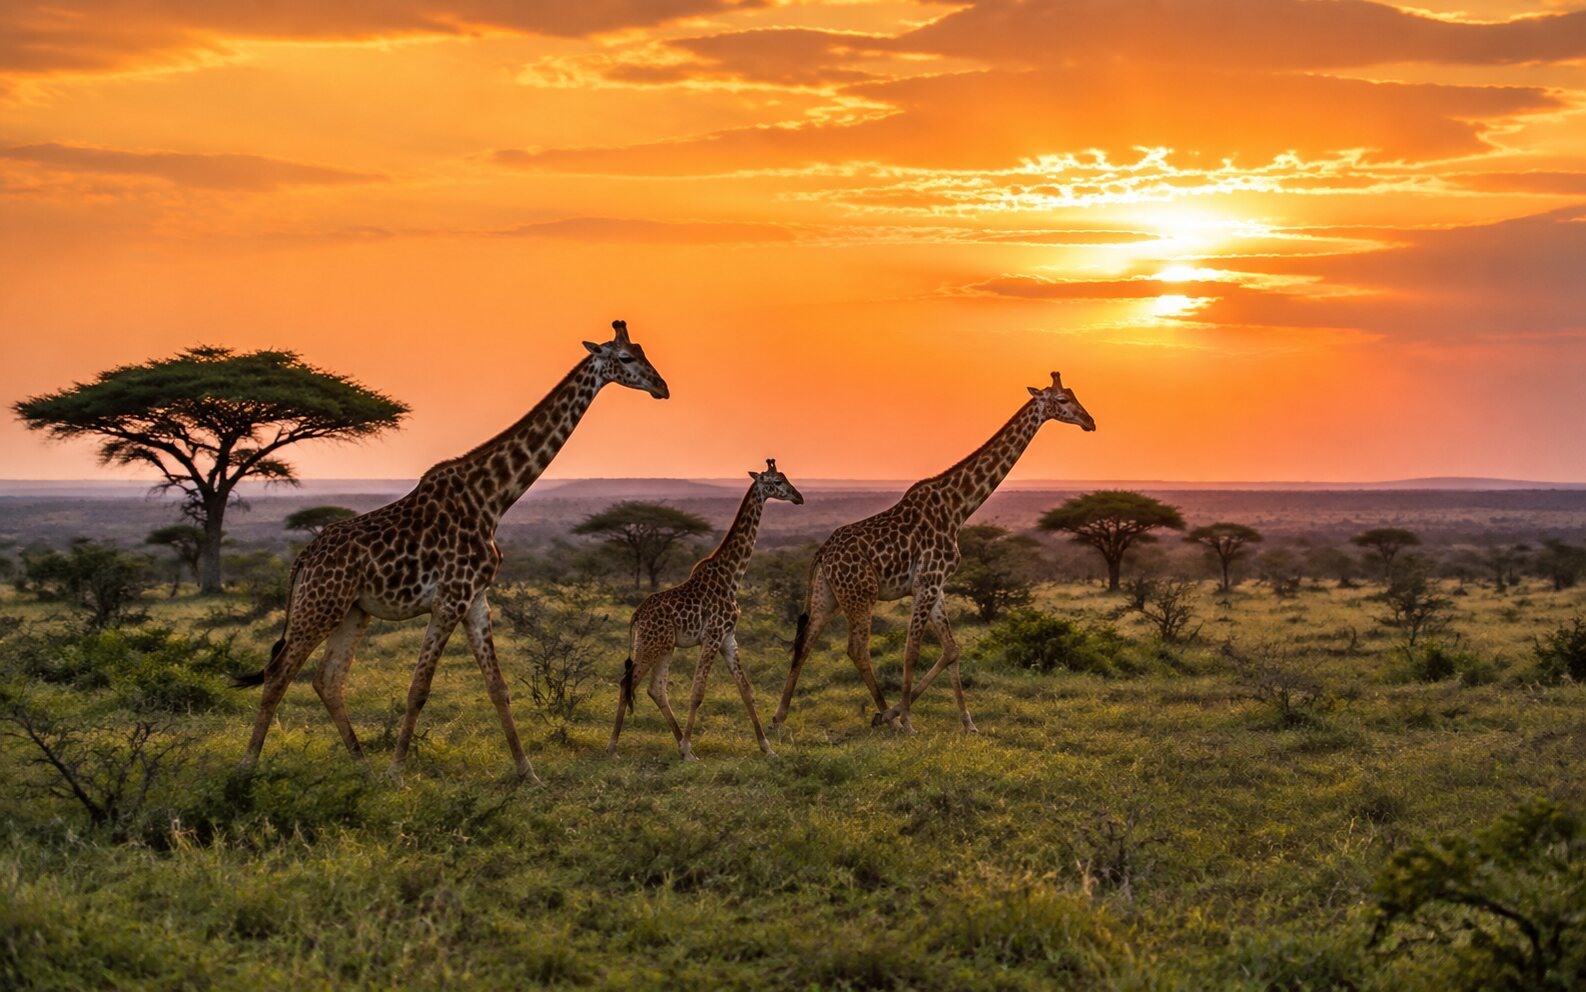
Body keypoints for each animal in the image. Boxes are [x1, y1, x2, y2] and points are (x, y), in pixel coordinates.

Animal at [235, 320, 669, 784]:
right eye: (625, 358)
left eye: (643, 351)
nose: (662, 387)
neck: (492, 498)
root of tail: (302, 560)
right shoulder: (450, 599)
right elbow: (419, 688)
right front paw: (397, 774)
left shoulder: (476, 599)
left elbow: (498, 687)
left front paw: (528, 774)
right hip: (321, 605)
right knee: (279, 673)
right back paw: (247, 767)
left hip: (353, 611)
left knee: (328, 680)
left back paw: (363, 768)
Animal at [608, 459, 803, 761]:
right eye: (777, 482)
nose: (798, 497)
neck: (732, 576)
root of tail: (636, 615)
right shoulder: (712, 635)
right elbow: (698, 692)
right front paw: (689, 749)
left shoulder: (728, 638)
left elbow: (746, 690)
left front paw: (768, 748)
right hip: (651, 645)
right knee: (626, 682)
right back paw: (614, 748)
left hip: (663, 645)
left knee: (655, 688)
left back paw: (676, 742)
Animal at [771, 373, 1096, 734]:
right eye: (1063, 400)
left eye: (1074, 395)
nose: (1090, 422)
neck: (958, 508)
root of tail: (822, 553)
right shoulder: (926, 582)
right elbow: (912, 651)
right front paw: (905, 720)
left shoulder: (936, 585)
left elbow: (952, 649)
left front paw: (967, 723)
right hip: (861, 595)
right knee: (857, 648)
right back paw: (887, 718)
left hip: (827, 595)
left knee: (806, 641)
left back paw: (780, 717)